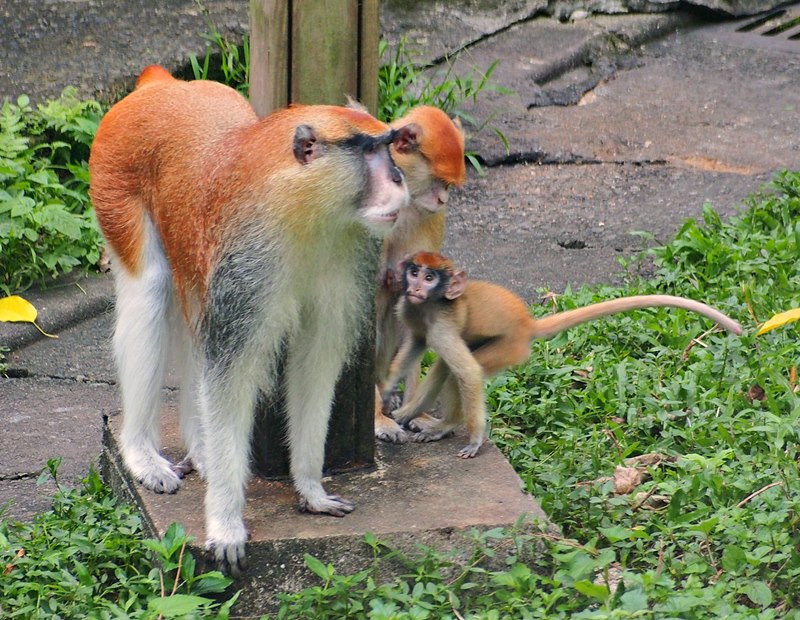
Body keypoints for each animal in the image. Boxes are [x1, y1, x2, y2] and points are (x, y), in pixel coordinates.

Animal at [88, 65, 416, 574]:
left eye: (389, 146)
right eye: (369, 151)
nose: (399, 178)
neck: (305, 207)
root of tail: (163, 86)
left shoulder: (347, 260)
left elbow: (314, 365)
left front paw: (311, 488)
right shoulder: (247, 270)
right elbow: (230, 378)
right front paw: (225, 523)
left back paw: (200, 446)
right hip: (114, 180)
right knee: (150, 291)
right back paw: (143, 453)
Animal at [381, 251, 743, 459]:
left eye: (430, 277)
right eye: (415, 272)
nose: (416, 286)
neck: (433, 302)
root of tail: (527, 323)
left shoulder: (441, 321)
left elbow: (468, 372)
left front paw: (474, 439)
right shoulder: (413, 311)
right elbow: (415, 346)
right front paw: (387, 396)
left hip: (511, 346)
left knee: (467, 367)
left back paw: (448, 425)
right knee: (447, 365)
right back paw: (414, 416)